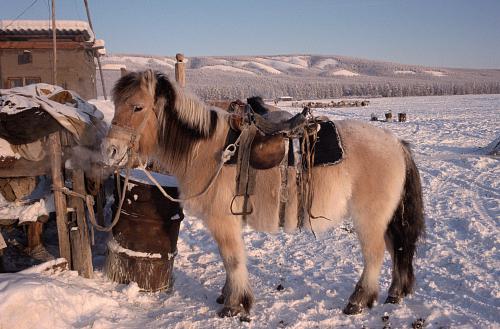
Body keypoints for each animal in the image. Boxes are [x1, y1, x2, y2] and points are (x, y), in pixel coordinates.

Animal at [101, 70, 426, 320]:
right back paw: (394, 294)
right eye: (116, 103)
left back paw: (358, 302)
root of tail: (397, 144)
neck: (208, 150)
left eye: (138, 107)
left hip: (369, 219)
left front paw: (235, 305)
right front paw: (227, 296)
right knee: (397, 249)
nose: (110, 150)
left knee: (375, 255)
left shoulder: (224, 223)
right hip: (385, 219)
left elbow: (232, 260)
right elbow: (229, 261)